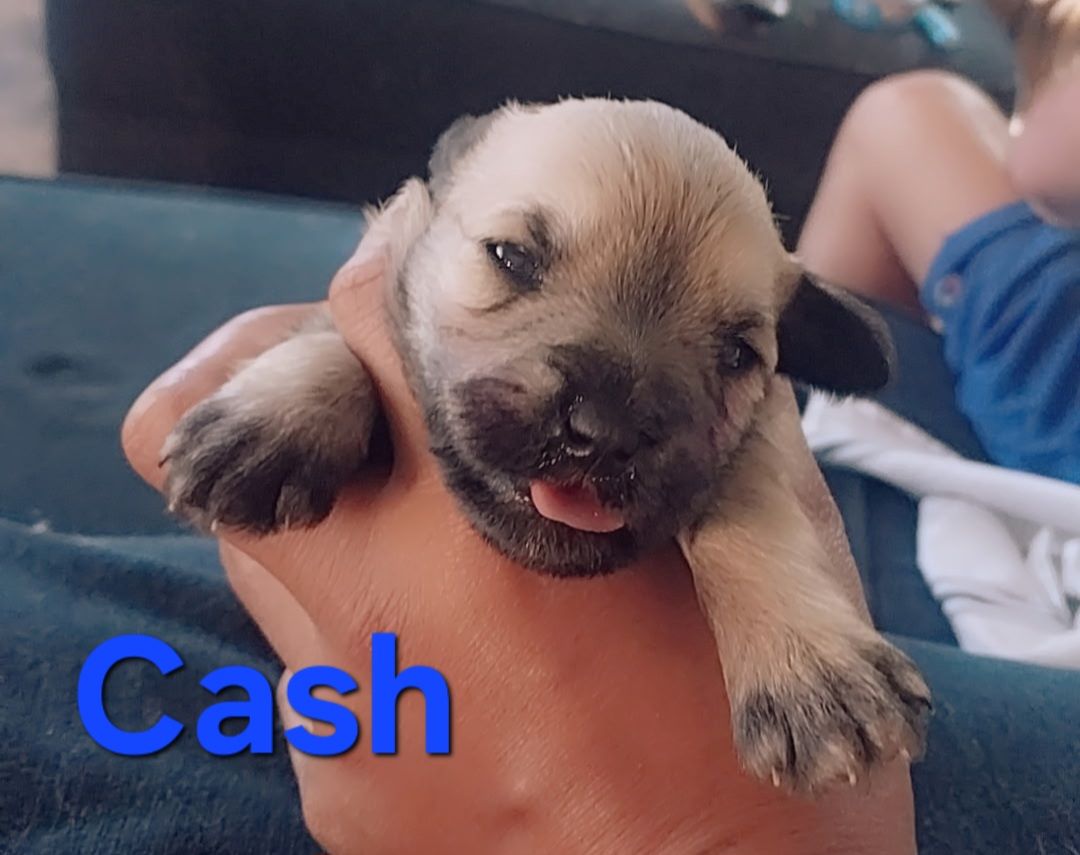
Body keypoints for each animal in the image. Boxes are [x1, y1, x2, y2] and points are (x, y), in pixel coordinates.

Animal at [162, 98, 930, 793]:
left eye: (739, 354)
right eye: (511, 257)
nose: (606, 432)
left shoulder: (757, 436)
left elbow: (747, 506)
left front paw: (809, 658)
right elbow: (333, 338)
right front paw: (276, 417)